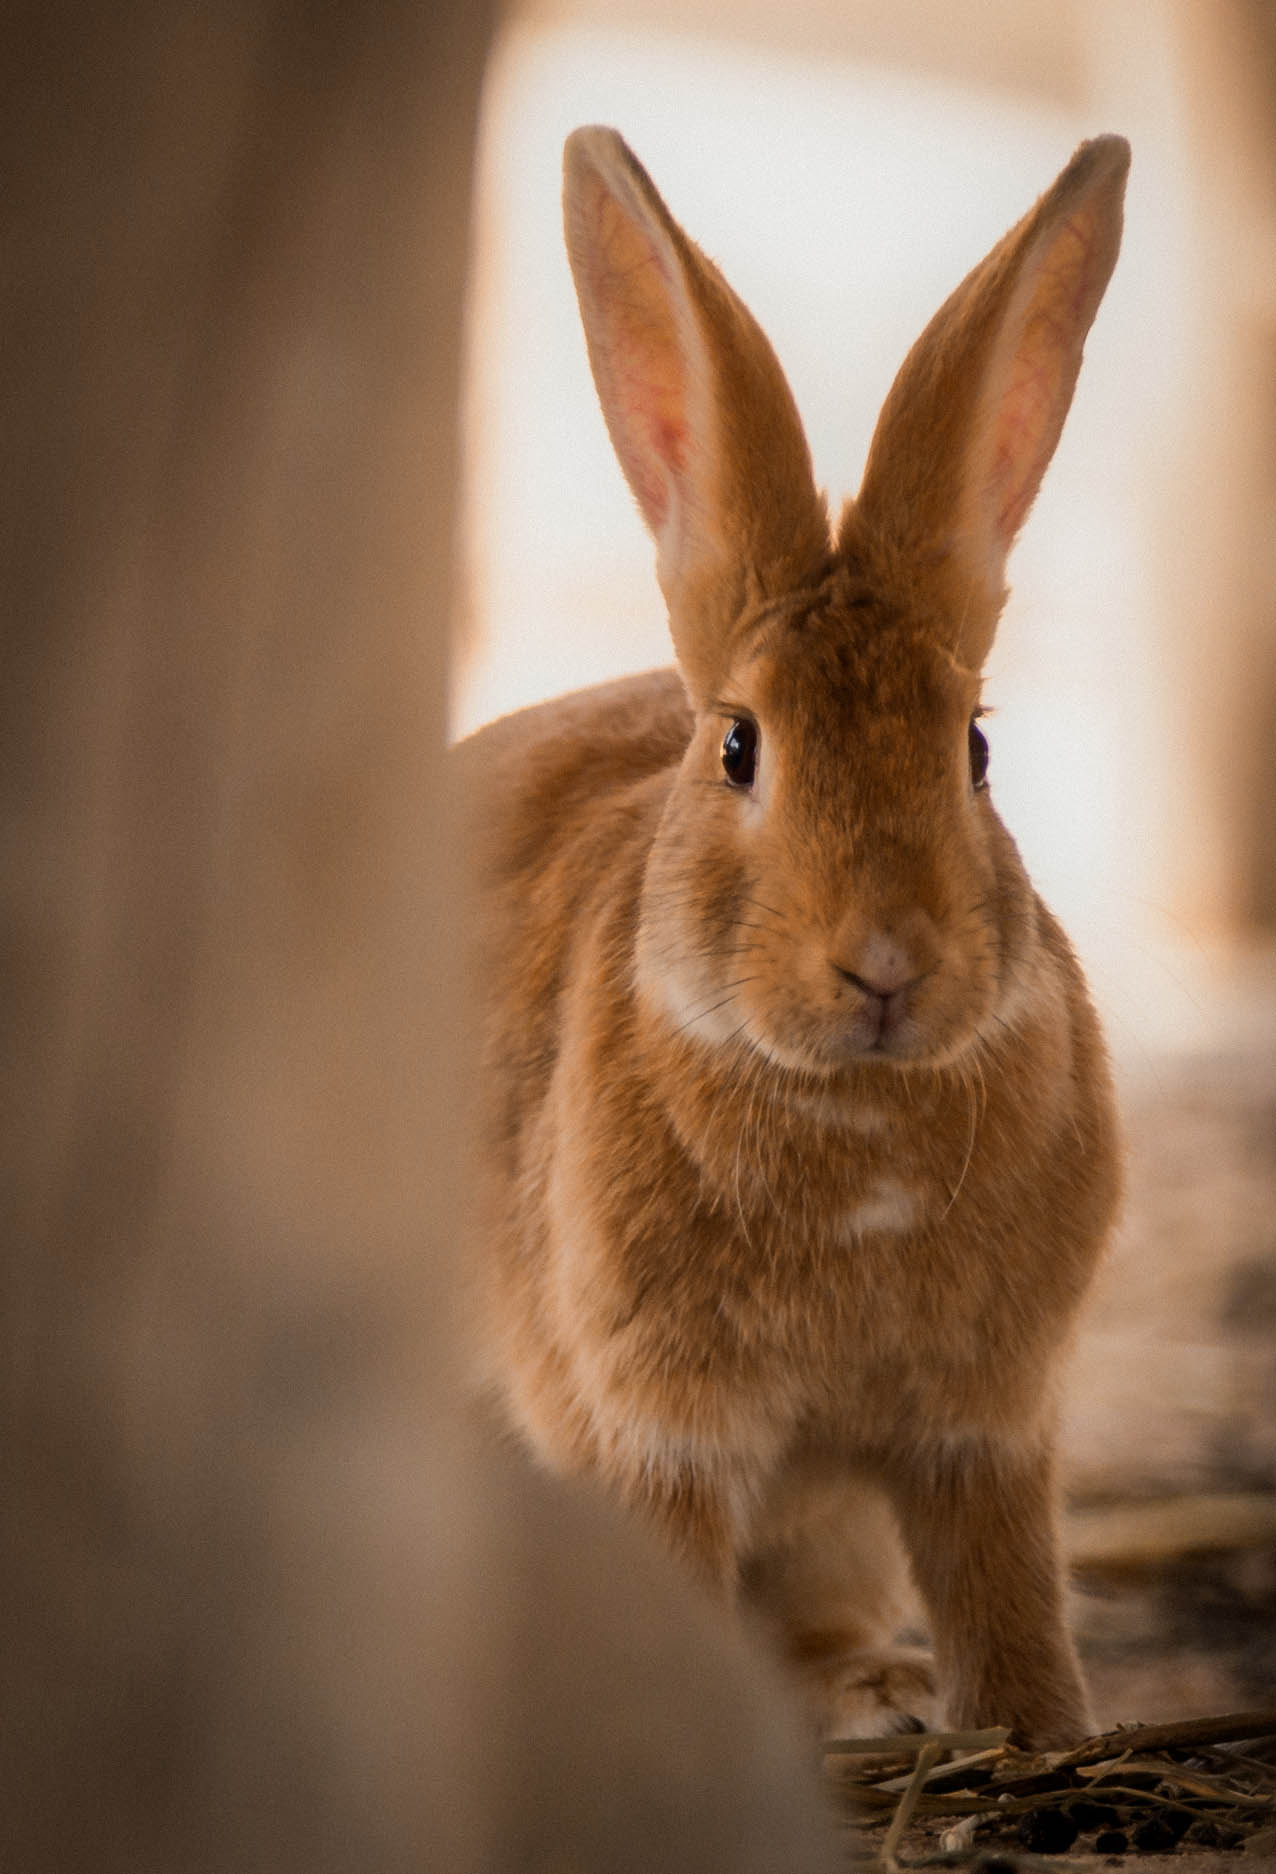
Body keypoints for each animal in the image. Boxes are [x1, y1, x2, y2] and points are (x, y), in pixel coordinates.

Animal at [459, 125, 1128, 1751]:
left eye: (974, 751)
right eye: (738, 749)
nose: (884, 963)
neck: (856, 1126)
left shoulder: (981, 1434)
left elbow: (1010, 1610)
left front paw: (1036, 1730)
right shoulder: (655, 1437)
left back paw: (869, 1690)